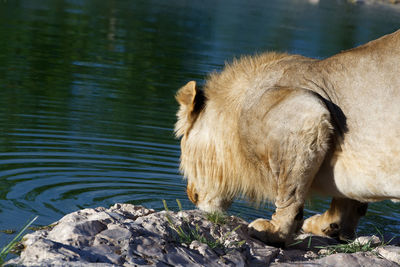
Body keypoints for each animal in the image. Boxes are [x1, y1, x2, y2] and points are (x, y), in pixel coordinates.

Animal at [174, 29, 400, 247]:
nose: (190, 195)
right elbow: (347, 202)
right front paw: (327, 226)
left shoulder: (306, 116)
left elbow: (290, 192)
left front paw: (274, 231)